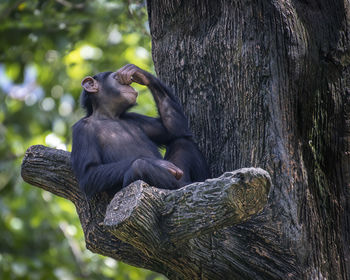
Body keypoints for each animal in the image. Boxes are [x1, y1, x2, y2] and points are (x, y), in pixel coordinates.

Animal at [69, 63, 209, 199]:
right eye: (116, 78)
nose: (129, 85)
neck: (109, 116)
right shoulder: (81, 130)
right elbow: (89, 172)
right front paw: (159, 163)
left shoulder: (136, 118)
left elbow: (175, 131)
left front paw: (138, 73)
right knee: (140, 167)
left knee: (183, 142)